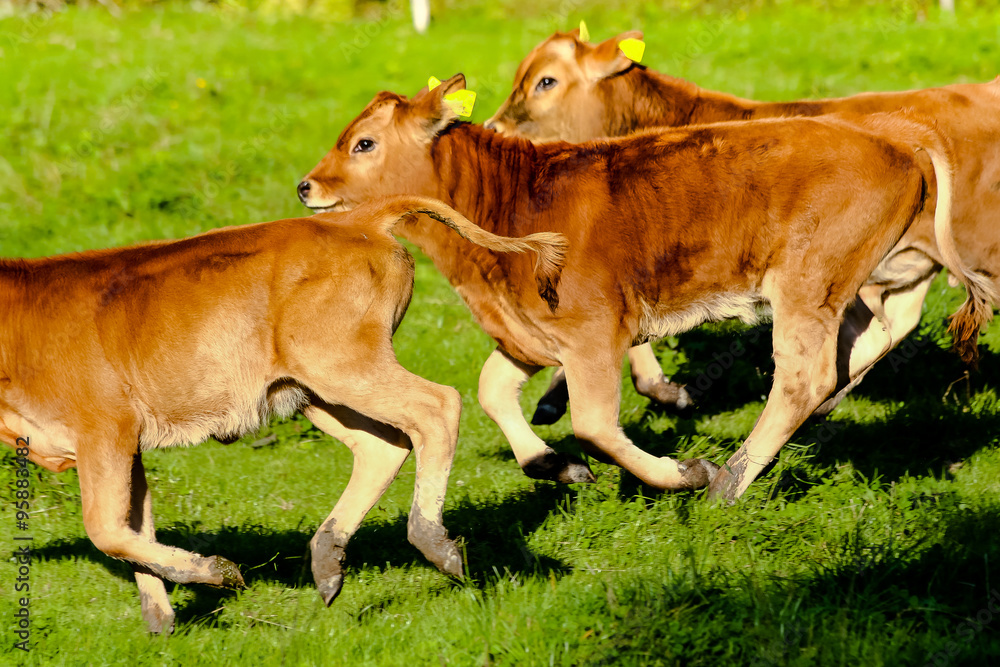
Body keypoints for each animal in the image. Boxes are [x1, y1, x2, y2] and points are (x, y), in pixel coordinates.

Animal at [0, 196, 567, 634]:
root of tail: (355, 219)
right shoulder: (127, 442)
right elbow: (134, 530)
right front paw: (161, 624)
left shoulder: (106, 427)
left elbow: (105, 528)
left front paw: (218, 572)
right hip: (312, 388)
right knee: (384, 445)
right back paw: (328, 563)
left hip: (342, 365)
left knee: (437, 406)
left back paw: (434, 543)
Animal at [296, 74, 993, 503]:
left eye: (364, 143)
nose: (306, 186)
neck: (513, 202)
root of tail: (887, 134)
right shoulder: (529, 332)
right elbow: (493, 390)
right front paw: (553, 464)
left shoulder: (592, 334)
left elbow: (594, 423)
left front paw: (682, 472)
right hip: (839, 284)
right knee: (867, 339)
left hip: (806, 284)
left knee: (803, 376)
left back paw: (730, 479)